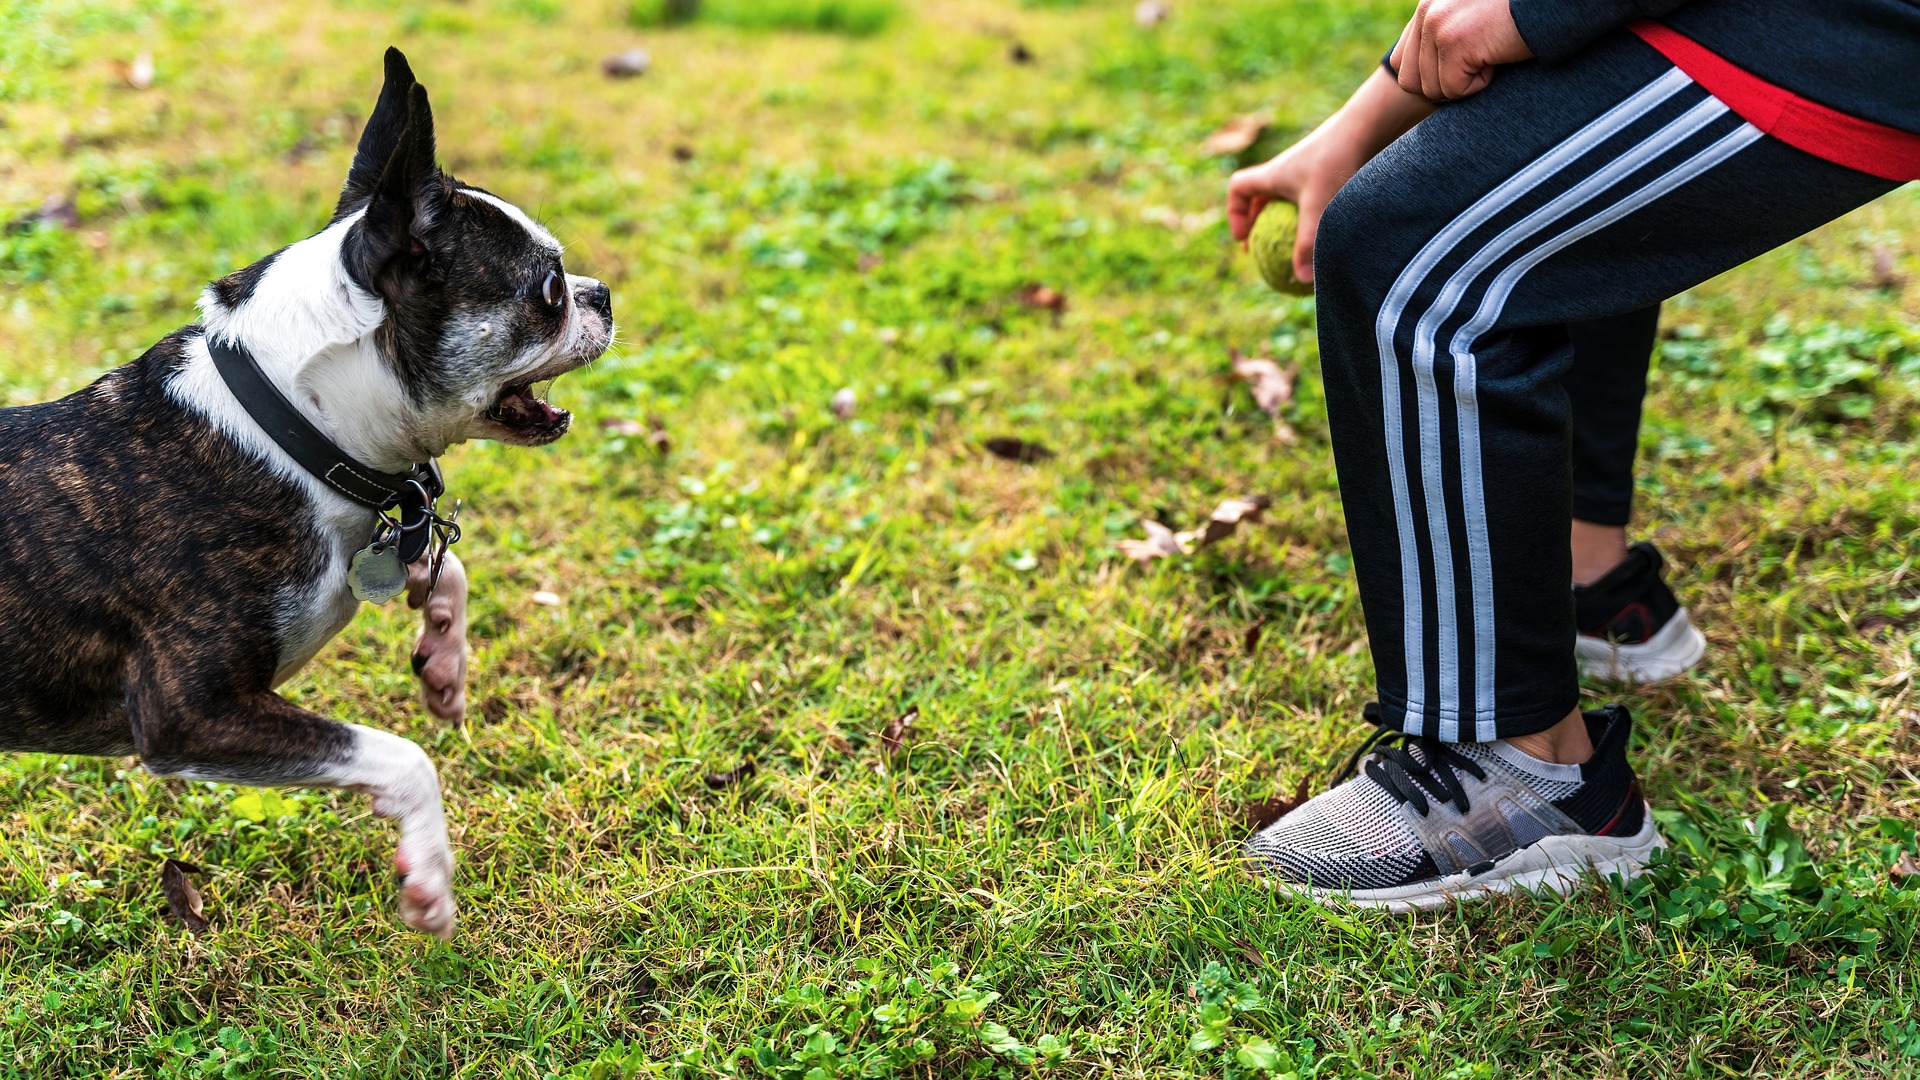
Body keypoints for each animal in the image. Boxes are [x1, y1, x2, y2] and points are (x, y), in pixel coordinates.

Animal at [0, 46, 610, 933]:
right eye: (551, 290)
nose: (603, 295)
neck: (289, 426)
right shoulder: (190, 712)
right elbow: (402, 755)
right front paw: (429, 879)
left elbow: (448, 567)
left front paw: (444, 662)